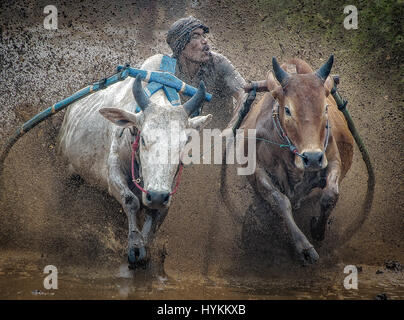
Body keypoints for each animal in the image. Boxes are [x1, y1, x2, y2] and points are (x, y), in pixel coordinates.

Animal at [58, 54, 215, 268]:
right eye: (144, 139)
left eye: (184, 142)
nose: (157, 195)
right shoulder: (113, 172)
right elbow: (130, 201)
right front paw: (134, 246)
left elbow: (156, 212)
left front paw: (145, 247)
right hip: (67, 171)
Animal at [237, 55, 354, 264]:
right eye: (288, 110)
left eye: (325, 107)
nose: (313, 158)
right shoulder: (256, 169)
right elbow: (280, 201)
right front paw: (304, 247)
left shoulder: (332, 159)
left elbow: (330, 194)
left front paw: (318, 229)